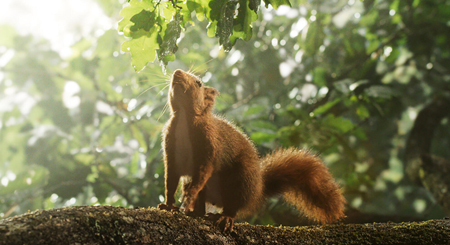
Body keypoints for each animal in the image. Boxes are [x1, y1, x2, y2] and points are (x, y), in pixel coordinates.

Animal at [156, 69, 346, 232]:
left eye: (198, 83)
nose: (177, 72)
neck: (184, 118)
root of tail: (258, 189)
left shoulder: (210, 145)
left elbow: (203, 172)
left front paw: (189, 196)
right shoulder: (171, 150)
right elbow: (170, 180)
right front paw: (168, 205)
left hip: (241, 181)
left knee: (233, 206)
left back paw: (224, 217)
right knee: (202, 207)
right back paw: (196, 212)